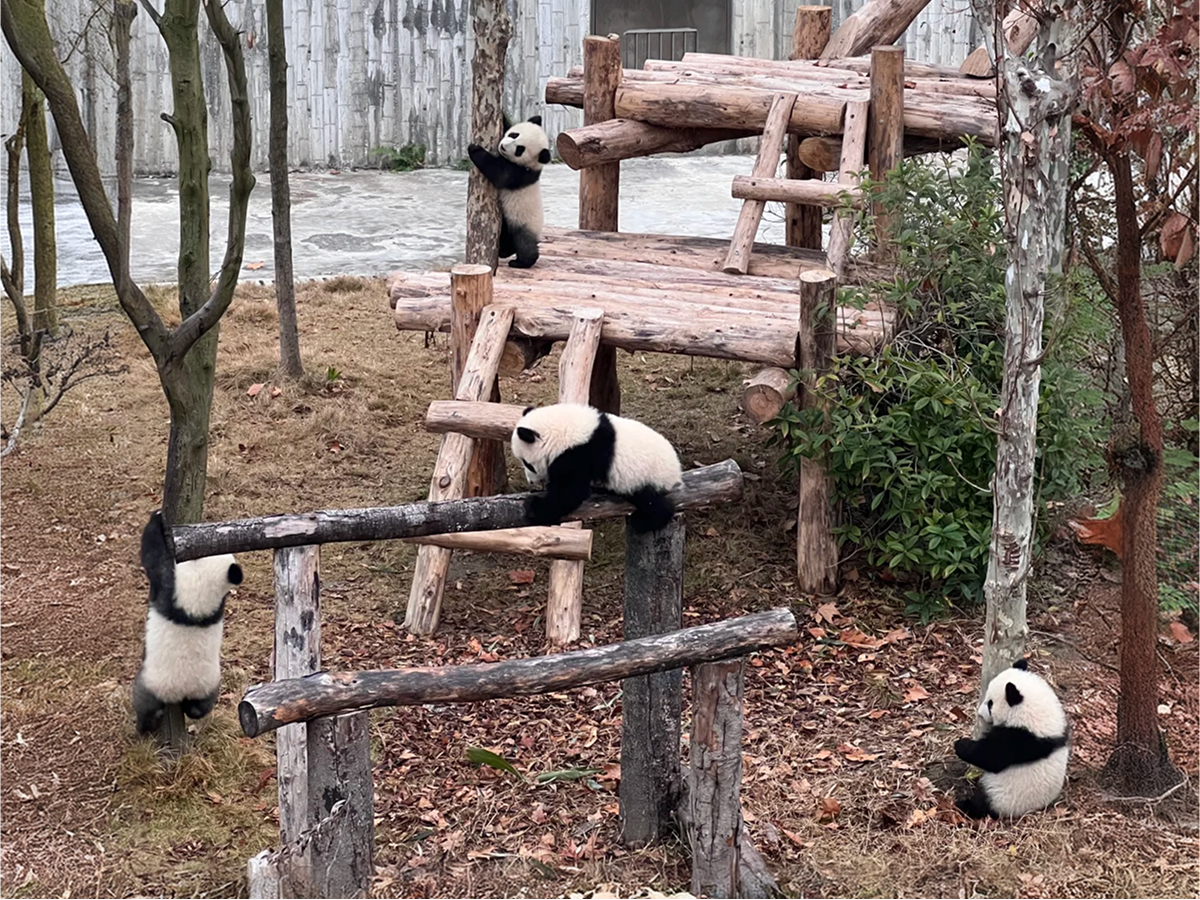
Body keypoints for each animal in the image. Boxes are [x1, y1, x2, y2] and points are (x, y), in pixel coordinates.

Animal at [132, 510, 243, 736]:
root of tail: (181, 691)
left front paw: (157, 518)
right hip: (209, 684)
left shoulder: (172, 586)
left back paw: (143, 728)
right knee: (200, 708)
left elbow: (153, 559)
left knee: (143, 704)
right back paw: (190, 710)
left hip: (152, 683)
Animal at [467, 113, 551, 269]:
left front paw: (474, 149)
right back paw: (504, 252)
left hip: (524, 223)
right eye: (514, 134)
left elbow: (499, 174)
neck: (533, 166)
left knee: (524, 244)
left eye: (519, 150)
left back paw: (521, 262)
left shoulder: (519, 173)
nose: (503, 147)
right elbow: (506, 123)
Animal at [511, 403, 684, 534]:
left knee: (653, 504)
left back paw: (643, 522)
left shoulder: (579, 454)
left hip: (645, 478)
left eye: (527, 464)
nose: (531, 482)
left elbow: (570, 491)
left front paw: (534, 506)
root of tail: (676, 473)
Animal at [953, 658, 1070, 819]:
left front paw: (961, 744)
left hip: (1002, 795)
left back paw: (964, 805)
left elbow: (991, 756)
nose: (980, 713)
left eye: (990, 704)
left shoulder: (1022, 738)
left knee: (983, 801)